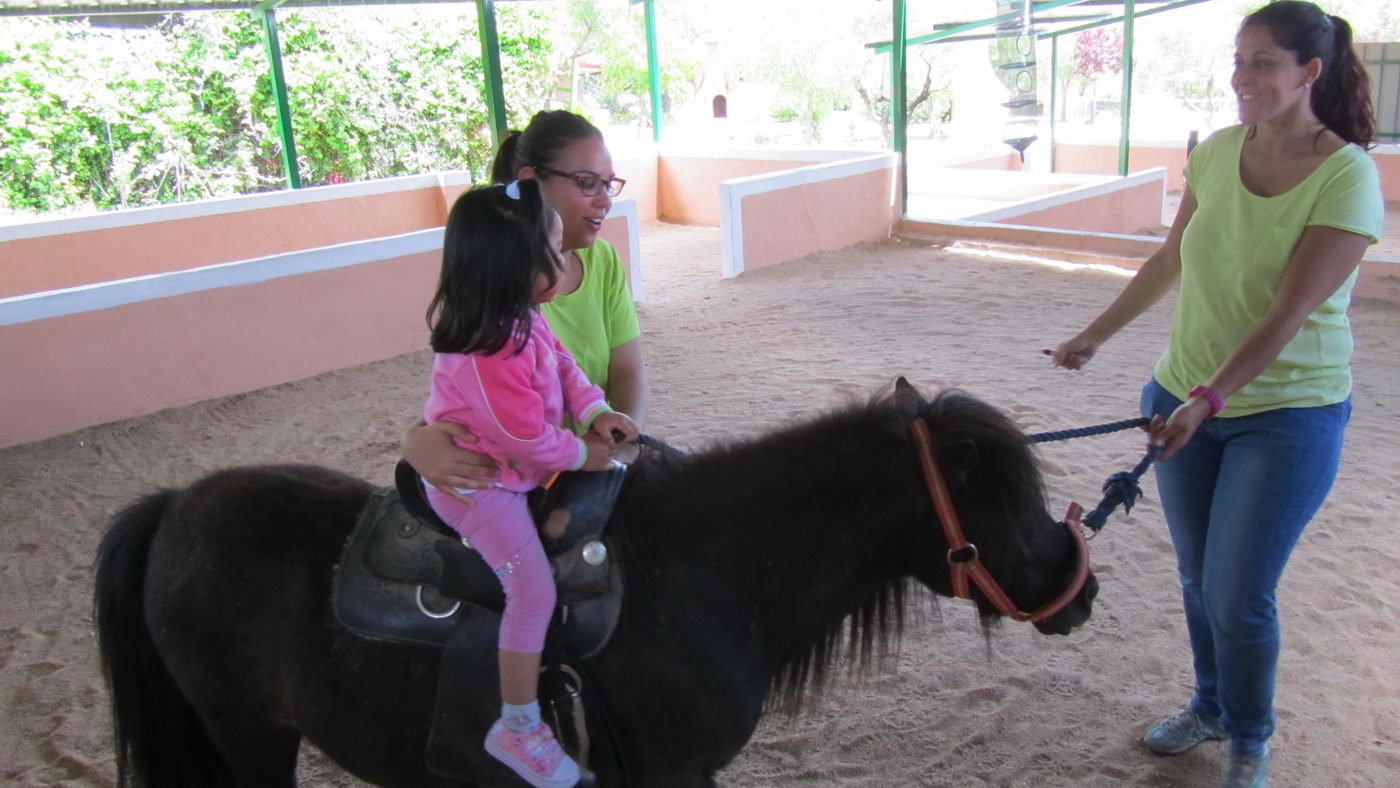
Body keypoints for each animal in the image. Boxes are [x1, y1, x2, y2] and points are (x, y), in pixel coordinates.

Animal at [98, 383, 1097, 788]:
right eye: (1006, 497)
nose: (1078, 588)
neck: (713, 568)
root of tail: (177, 505)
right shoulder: (676, 772)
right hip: (250, 737)